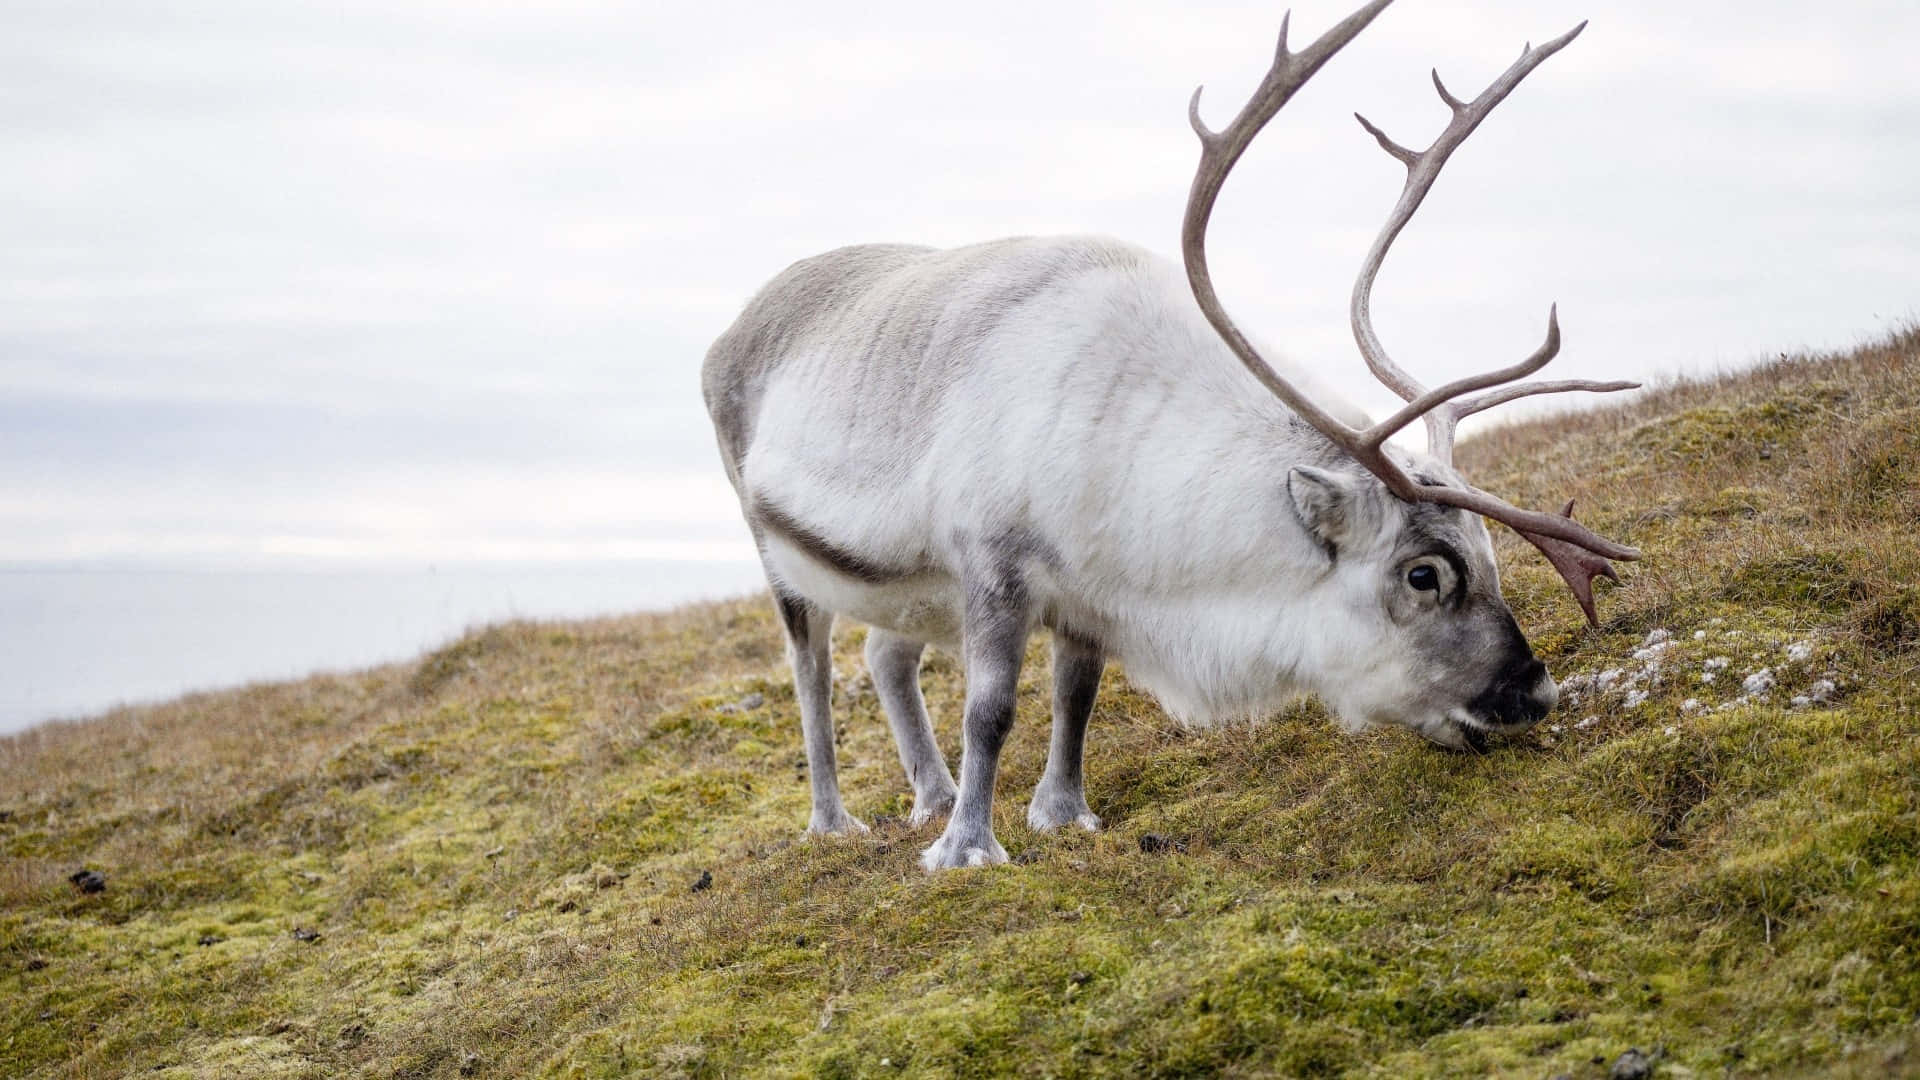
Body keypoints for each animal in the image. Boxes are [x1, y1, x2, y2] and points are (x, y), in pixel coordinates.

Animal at [701, 0, 1639, 871]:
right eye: (1423, 575)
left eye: (1488, 553)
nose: (1533, 694)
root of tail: (732, 327)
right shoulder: (992, 565)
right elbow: (992, 709)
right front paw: (968, 848)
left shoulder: (1082, 591)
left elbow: (1075, 696)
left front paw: (1062, 813)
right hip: (772, 545)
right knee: (813, 671)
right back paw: (836, 819)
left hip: (908, 585)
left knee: (884, 653)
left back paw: (928, 795)